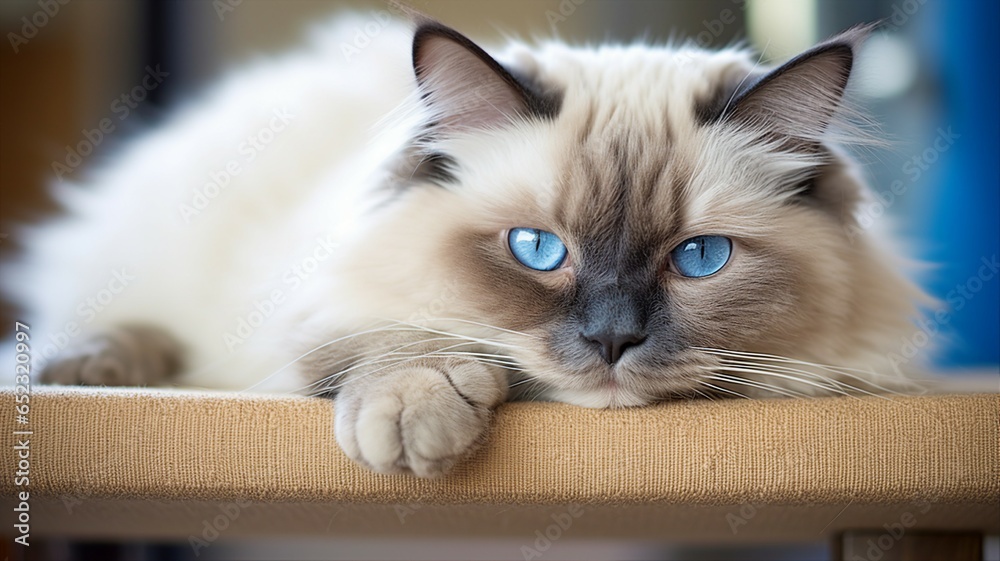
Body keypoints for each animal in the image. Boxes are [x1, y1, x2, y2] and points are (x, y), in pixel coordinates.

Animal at [0, 15, 924, 474]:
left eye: (699, 259)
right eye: (537, 249)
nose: (612, 340)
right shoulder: (321, 304)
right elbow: (399, 340)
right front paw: (419, 416)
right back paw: (90, 365)